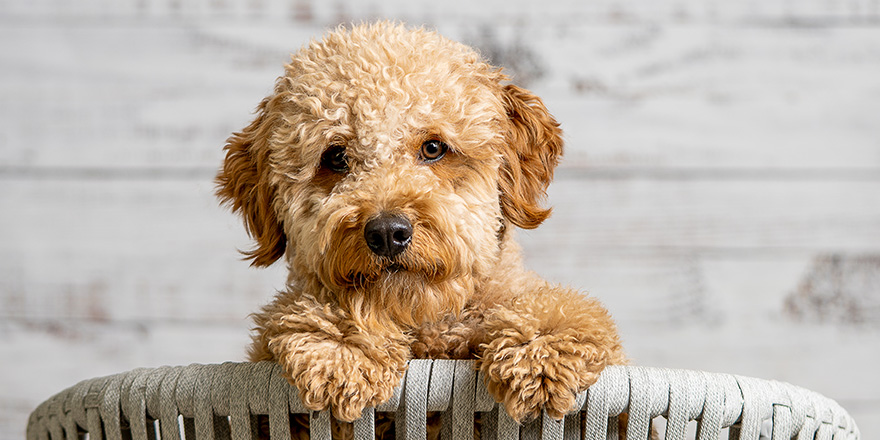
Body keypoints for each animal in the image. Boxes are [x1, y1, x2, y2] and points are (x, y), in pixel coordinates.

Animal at [215, 21, 624, 430]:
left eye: (433, 148)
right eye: (335, 157)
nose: (386, 233)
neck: (427, 326)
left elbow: (560, 309)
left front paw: (541, 349)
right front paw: (340, 347)